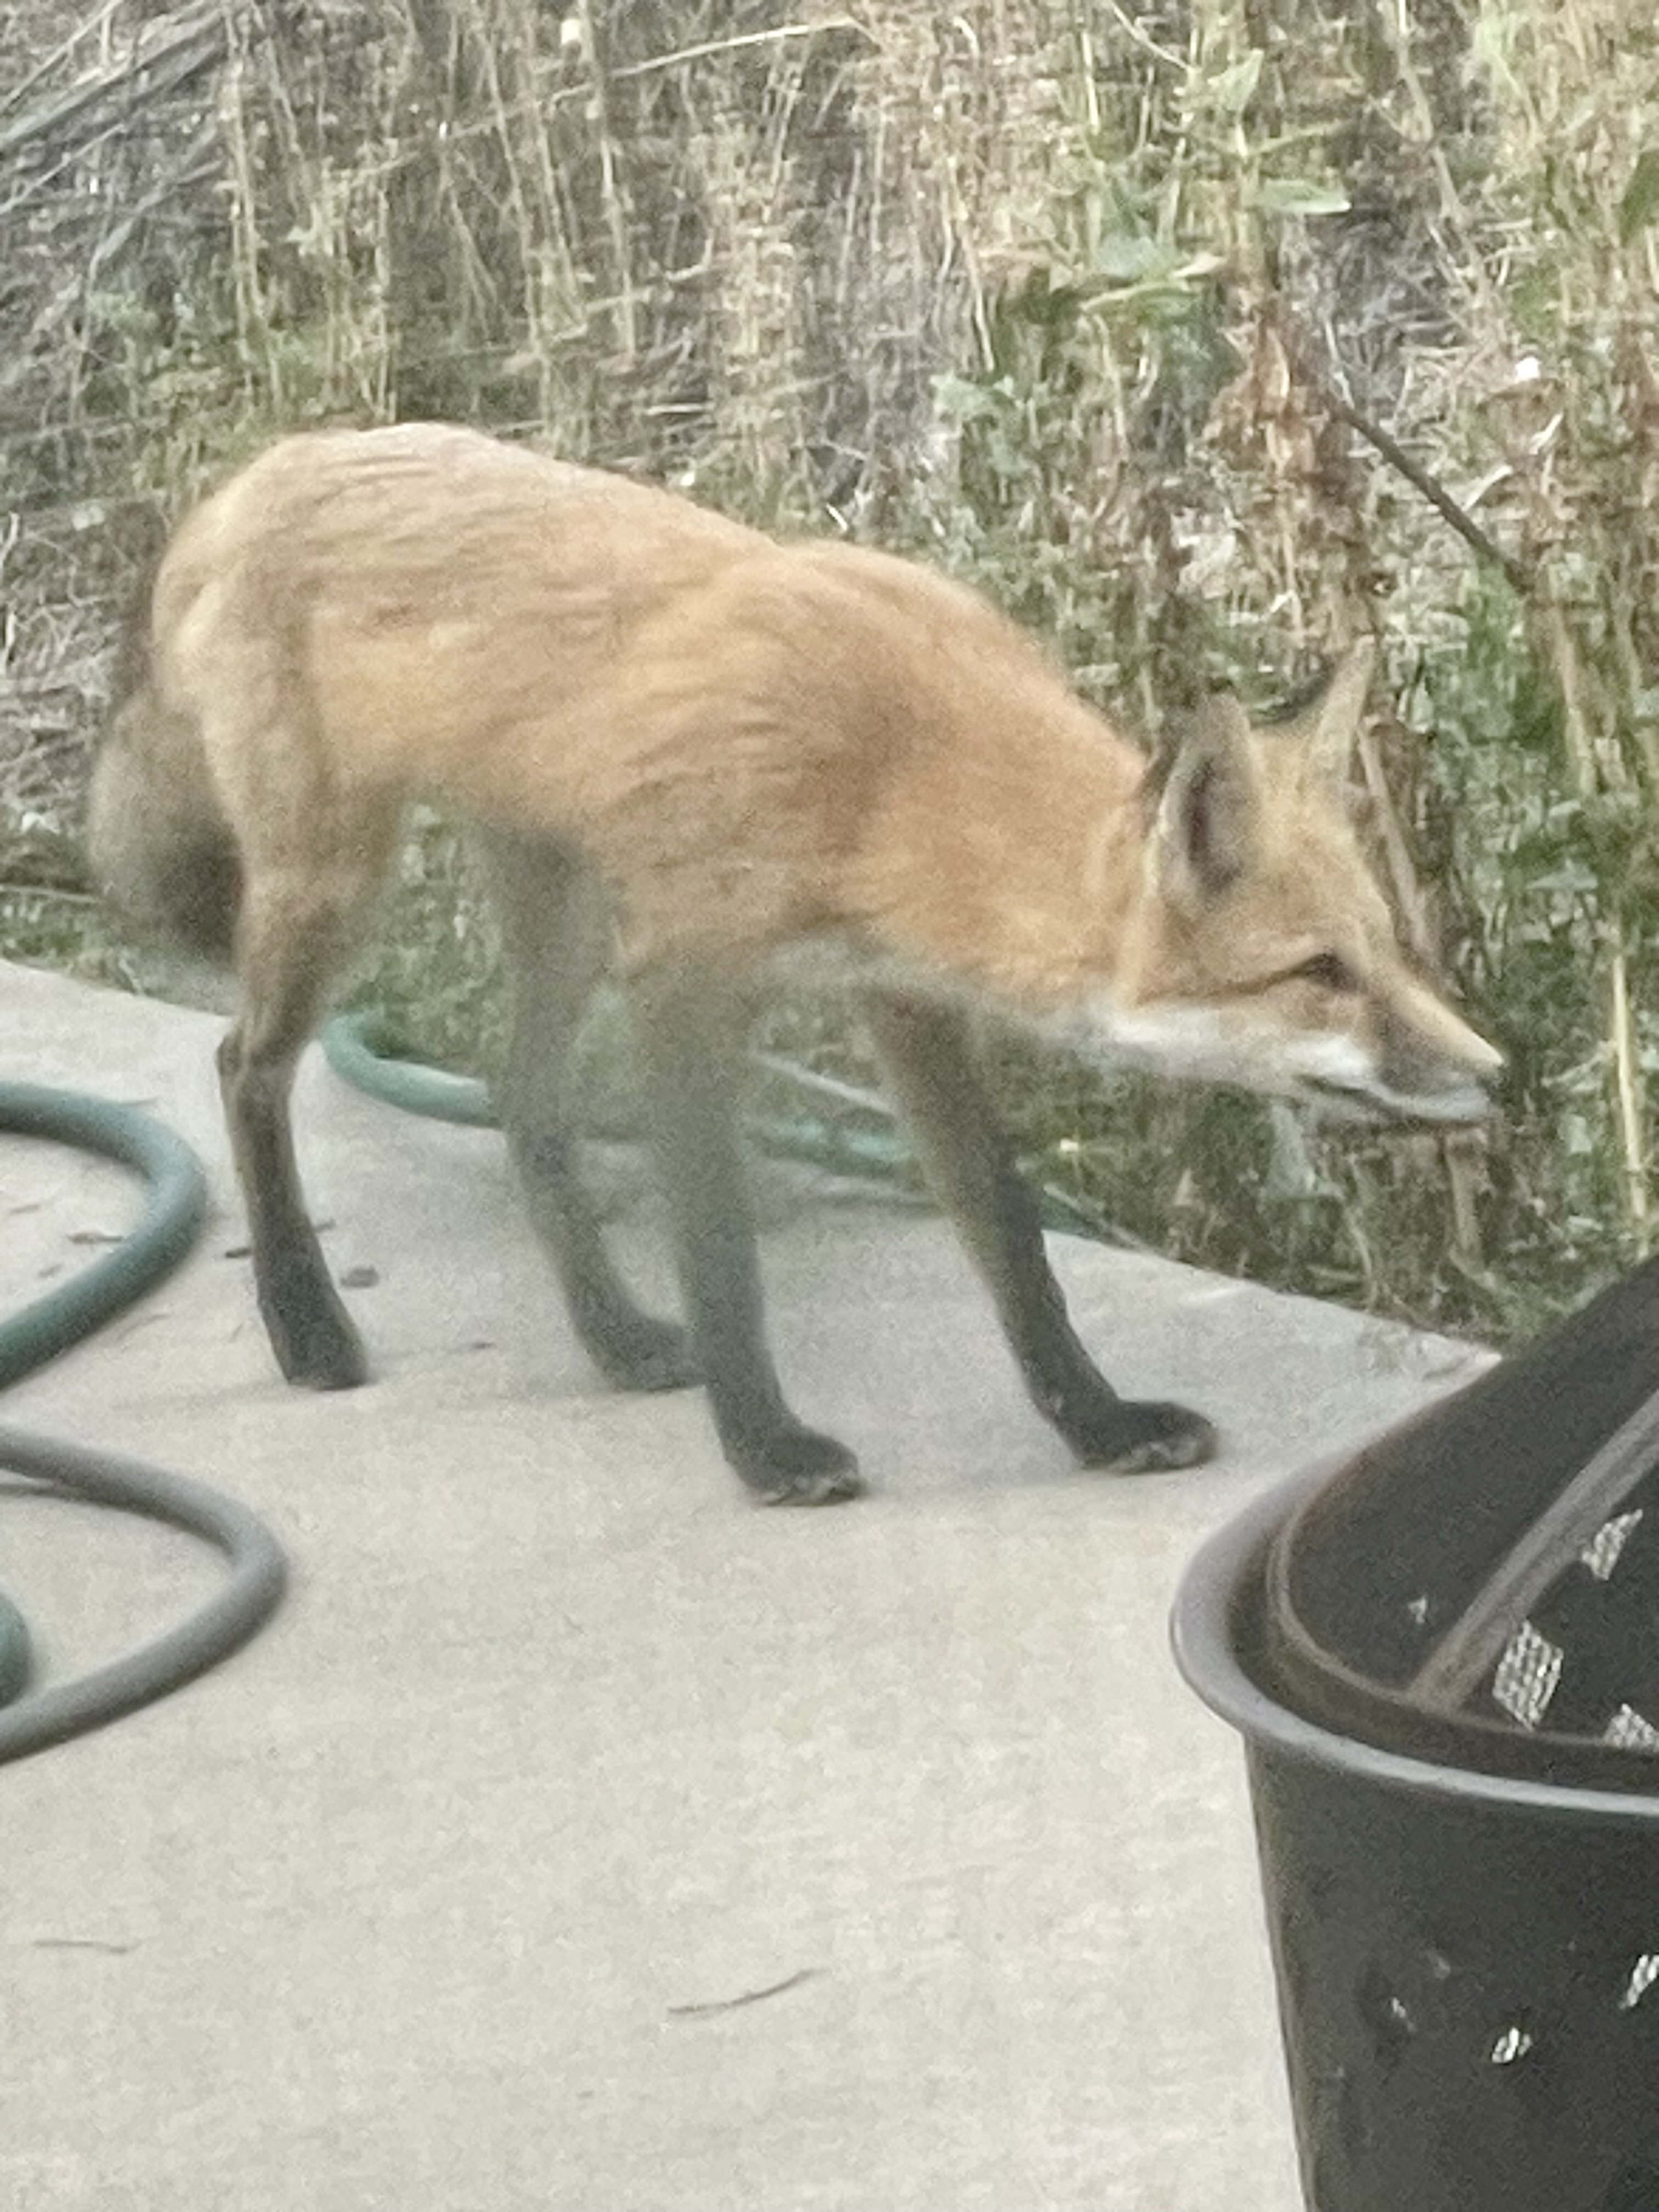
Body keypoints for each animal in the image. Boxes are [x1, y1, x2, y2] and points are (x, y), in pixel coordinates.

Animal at [88, 421, 1501, 1504]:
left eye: (1389, 951)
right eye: (1320, 972)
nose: (1495, 1073)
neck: (899, 773)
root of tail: (256, 471)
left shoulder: (900, 998)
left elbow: (1013, 1241)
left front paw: (1096, 1426)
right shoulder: (683, 982)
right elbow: (723, 1256)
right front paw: (766, 1449)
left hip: (558, 913)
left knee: (519, 1098)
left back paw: (613, 1338)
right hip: (334, 888)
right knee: (243, 1067)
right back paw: (309, 1324)